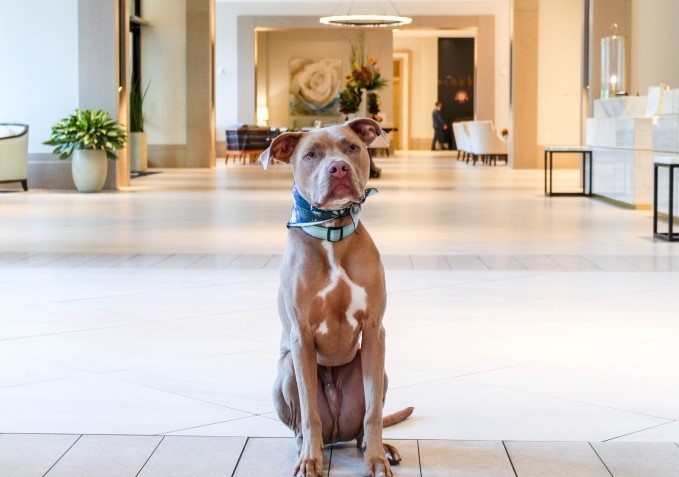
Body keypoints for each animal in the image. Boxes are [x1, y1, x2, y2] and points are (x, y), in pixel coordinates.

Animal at [262, 116, 414, 476]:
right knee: (304, 425)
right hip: (287, 371)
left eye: (352, 147)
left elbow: (373, 414)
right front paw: (310, 462)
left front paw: (376, 459)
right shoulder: (301, 336)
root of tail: (336, 436)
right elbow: (310, 412)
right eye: (310, 155)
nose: (339, 168)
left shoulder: (374, 331)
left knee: (363, 425)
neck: (332, 230)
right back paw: (306, 449)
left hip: (376, 370)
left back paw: (380, 448)